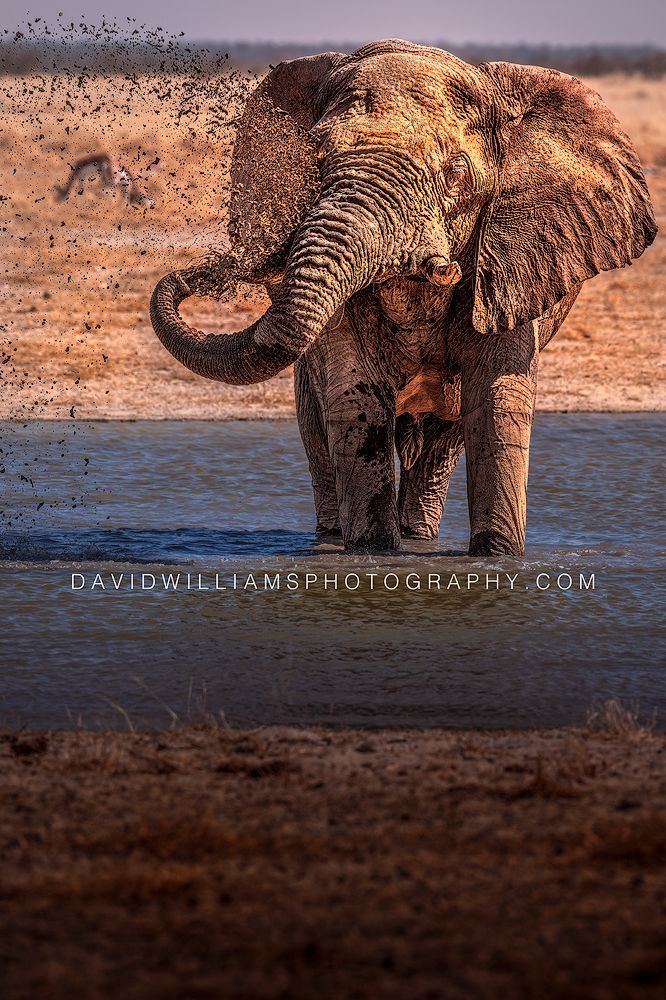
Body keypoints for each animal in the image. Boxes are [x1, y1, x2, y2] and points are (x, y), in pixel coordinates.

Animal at [150, 39, 656, 555]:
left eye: (455, 174)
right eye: (314, 161)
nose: (193, 278)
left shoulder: (509, 266)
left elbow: (497, 403)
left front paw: (498, 559)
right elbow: (356, 398)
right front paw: (373, 553)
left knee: (444, 438)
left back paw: (418, 537)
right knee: (319, 430)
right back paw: (335, 540)